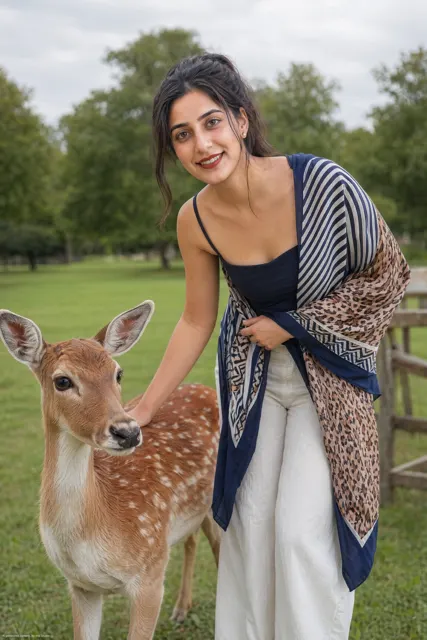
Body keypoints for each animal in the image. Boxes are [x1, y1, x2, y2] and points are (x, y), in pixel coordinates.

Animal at [0, 302, 221, 640]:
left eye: (118, 373)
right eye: (62, 381)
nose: (127, 432)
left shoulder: (150, 573)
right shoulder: (80, 586)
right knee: (193, 539)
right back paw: (182, 609)